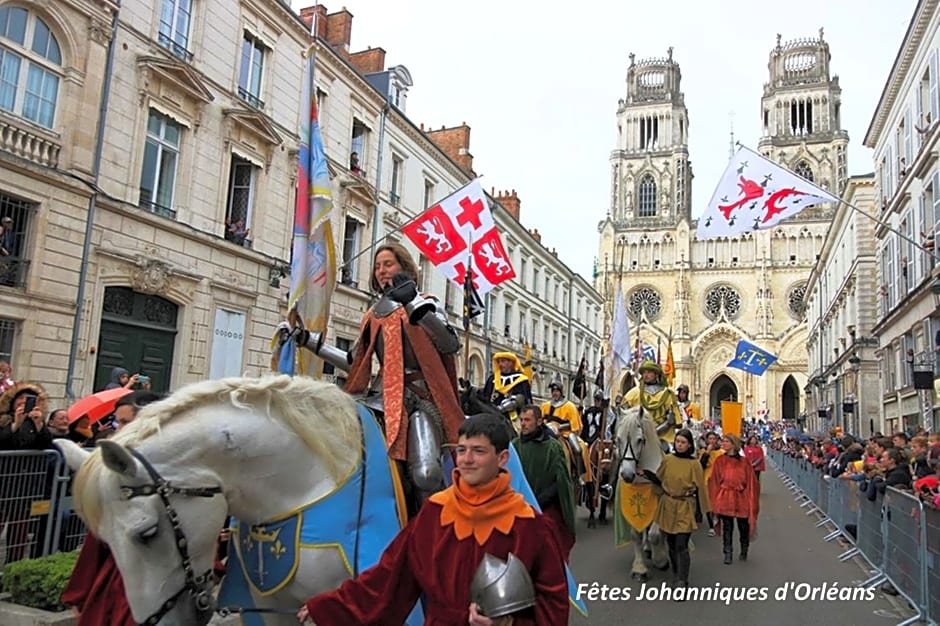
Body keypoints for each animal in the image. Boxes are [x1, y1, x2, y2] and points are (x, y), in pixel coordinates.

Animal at [616, 404, 668, 580]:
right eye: (618, 439)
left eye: (640, 440)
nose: (627, 475)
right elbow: (636, 535)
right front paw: (639, 568)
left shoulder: (660, 503)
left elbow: (655, 534)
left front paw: (661, 560)